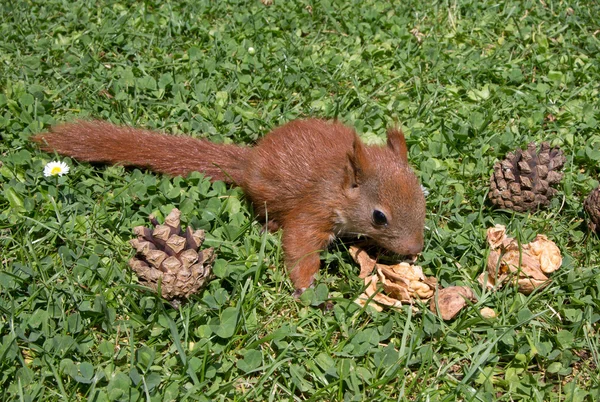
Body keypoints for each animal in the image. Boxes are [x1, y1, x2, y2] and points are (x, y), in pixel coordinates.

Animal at [34, 118, 426, 294]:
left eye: (423, 197)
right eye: (379, 217)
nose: (415, 249)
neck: (339, 185)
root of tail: (249, 161)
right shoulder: (313, 210)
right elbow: (299, 247)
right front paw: (309, 290)